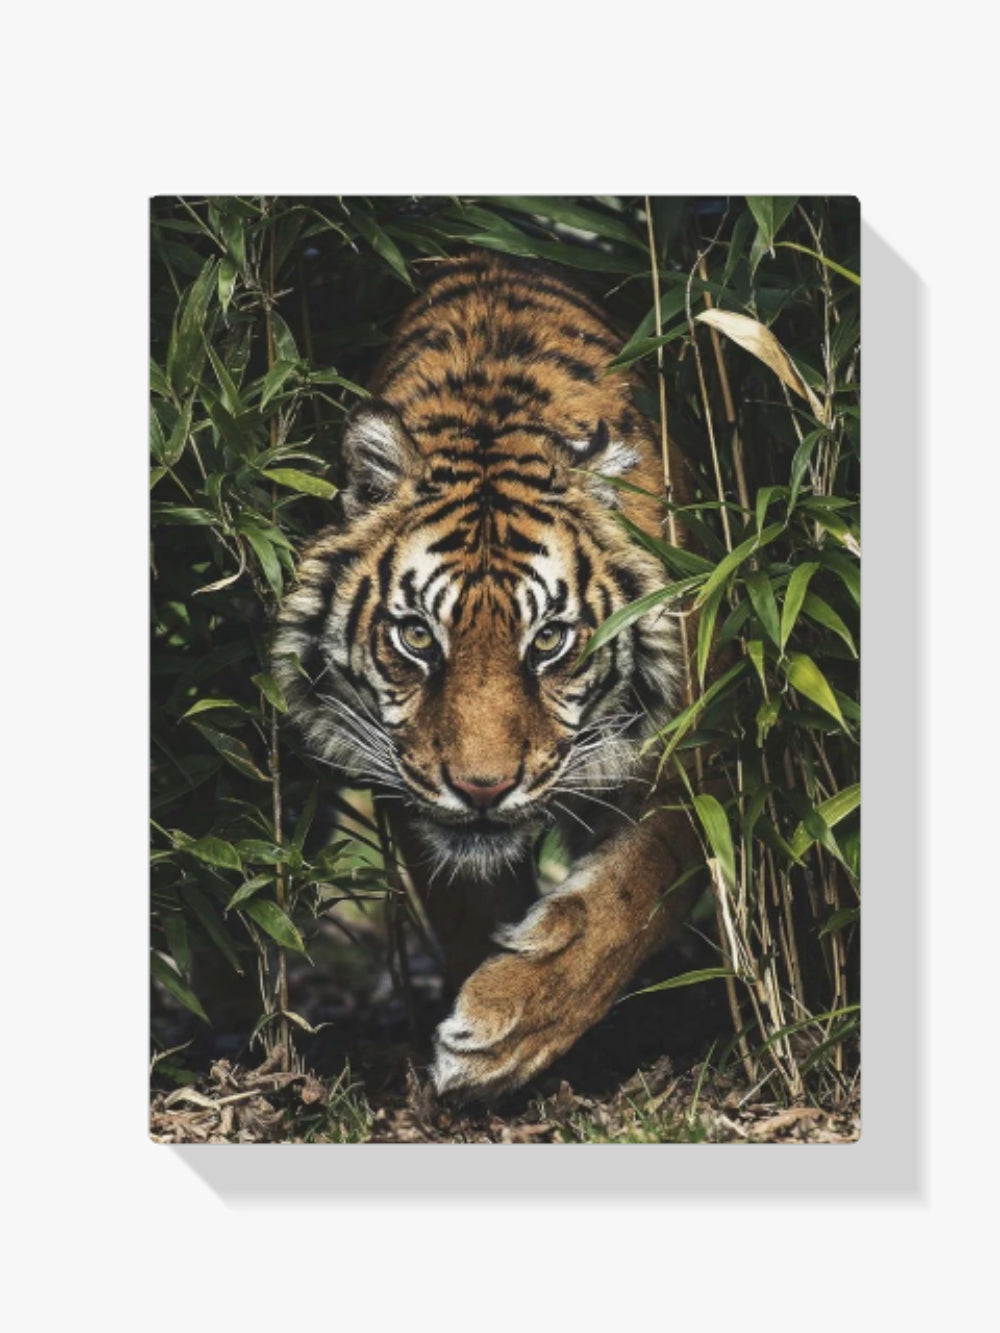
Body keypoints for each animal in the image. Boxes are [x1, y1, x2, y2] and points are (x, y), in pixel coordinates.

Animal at [272, 250, 702, 1099]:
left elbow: (636, 889)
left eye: (549, 641)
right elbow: (465, 902)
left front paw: (502, 1029)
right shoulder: (401, 773)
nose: (481, 788)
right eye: (416, 636)